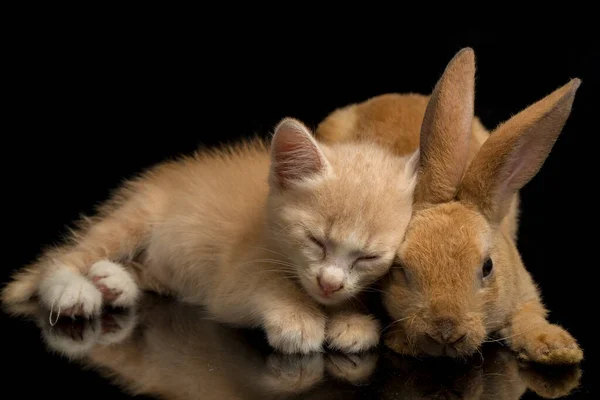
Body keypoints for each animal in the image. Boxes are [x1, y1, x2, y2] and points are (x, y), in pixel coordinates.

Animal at [2, 118, 418, 354]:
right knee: (70, 255)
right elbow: (266, 286)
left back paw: (113, 282)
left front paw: (353, 319)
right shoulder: (233, 281)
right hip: (139, 215)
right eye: (314, 240)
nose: (329, 285)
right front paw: (297, 317)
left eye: (368, 257)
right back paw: (72, 289)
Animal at [316, 47, 584, 366]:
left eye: (488, 266)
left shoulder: (524, 293)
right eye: (399, 269)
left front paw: (557, 348)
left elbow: (529, 317)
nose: (445, 332)